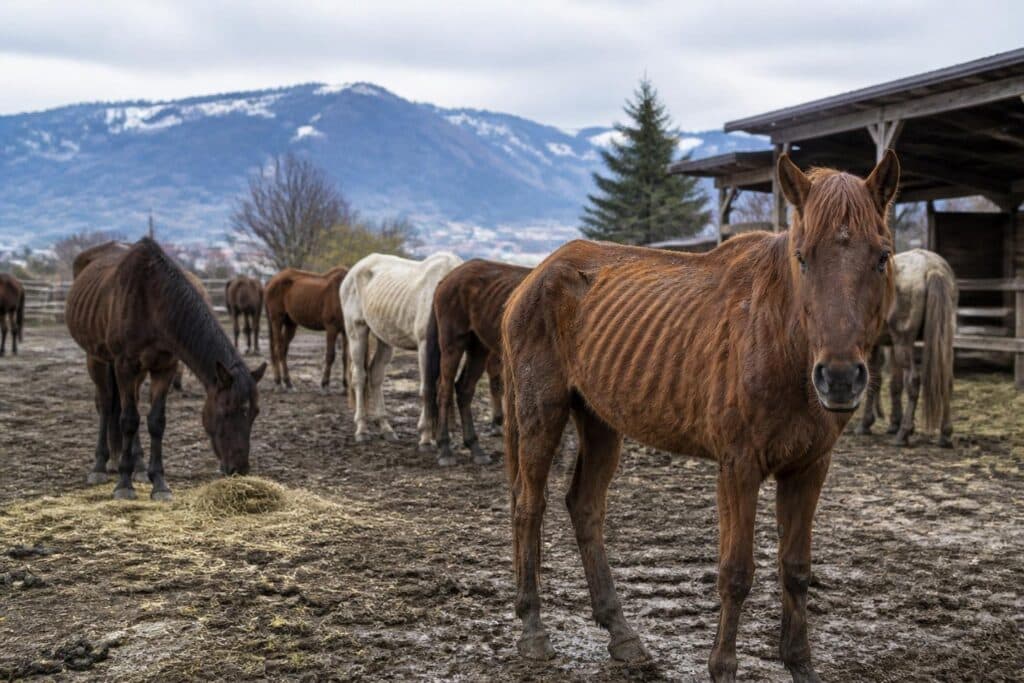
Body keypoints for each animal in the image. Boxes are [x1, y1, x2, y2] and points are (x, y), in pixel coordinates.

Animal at [66, 238, 266, 500]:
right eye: (225, 411)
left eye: (255, 413)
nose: (239, 469)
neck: (152, 302)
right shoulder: (125, 365)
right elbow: (128, 419)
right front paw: (124, 485)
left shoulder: (165, 367)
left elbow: (155, 421)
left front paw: (159, 483)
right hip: (97, 358)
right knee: (107, 405)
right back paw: (100, 466)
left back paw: (138, 466)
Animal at [340, 251, 462, 445]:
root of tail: (354, 269)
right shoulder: (425, 347)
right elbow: (427, 388)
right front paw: (426, 436)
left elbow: (445, 387)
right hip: (356, 330)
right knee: (359, 377)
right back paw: (361, 429)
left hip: (384, 337)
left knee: (375, 375)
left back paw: (386, 428)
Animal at [422, 259, 530, 466]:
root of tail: (447, 278)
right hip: (453, 344)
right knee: (444, 390)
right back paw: (445, 448)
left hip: (479, 347)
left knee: (464, 390)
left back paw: (475, 447)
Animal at [501, 151, 899, 682]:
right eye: (802, 257)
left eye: (881, 257)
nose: (838, 379)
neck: (777, 337)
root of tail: (536, 276)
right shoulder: (738, 467)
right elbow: (736, 573)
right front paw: (722, 667)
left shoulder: (809, 468)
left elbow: (796, 570)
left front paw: (800, 665)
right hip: (540, 412)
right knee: (529, 505)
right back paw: (533, 629)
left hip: (601, 421)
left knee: (584, 508)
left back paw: (621, 633)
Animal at [857, 248, 957, 447]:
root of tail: (932, 267)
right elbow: (892, 383)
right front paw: (892, 422)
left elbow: (874, 380)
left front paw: (866, 423)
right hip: (942, 343)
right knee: (946, 380)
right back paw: (945, 434)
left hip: (903, 343)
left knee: (913, 381)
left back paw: (903, 433)